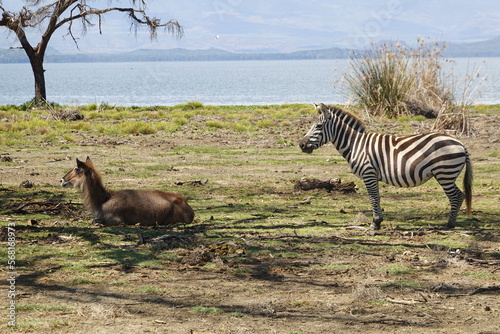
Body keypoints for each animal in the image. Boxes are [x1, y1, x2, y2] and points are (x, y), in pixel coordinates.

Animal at [300, 104, 472, 230]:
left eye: (319, 126)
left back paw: (449, 225)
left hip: (445, 174)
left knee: (456, 196)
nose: (301, 145)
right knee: (459, 195)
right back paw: (451, 223)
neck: (356, 144)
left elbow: (373, 197)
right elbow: (377, 197)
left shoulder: (368, 173)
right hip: (446, 175)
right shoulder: (373, 175)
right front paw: (378, 221)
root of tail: (461, 143)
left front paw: (375, 223)